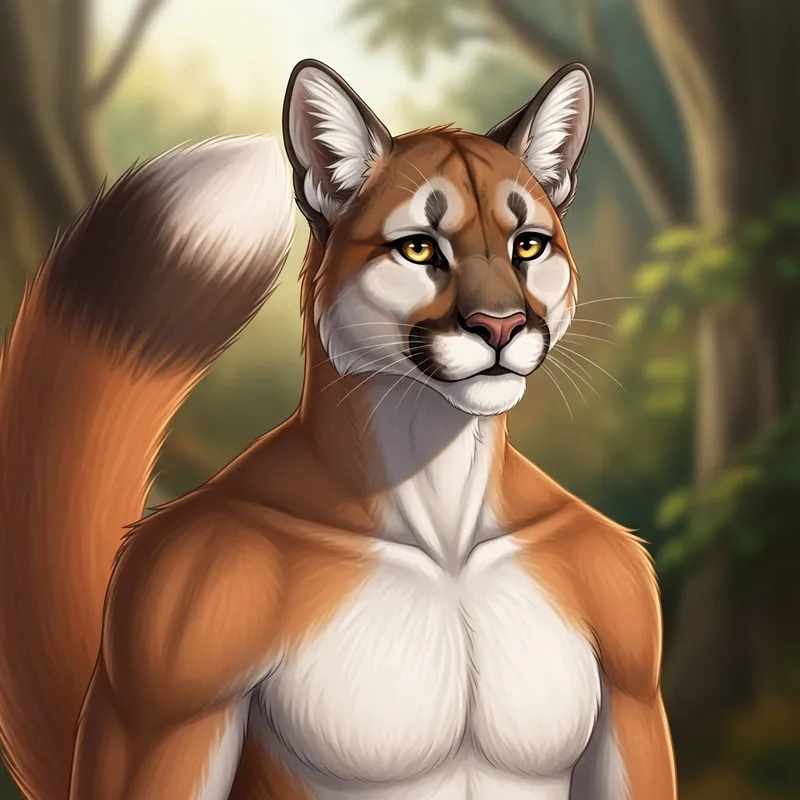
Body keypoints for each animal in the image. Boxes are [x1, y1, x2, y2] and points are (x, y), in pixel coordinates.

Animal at [0, 59, 676, 799]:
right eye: (419, 249)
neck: (441, 518)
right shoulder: (181, 620)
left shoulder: (629, 636)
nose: (500, 327)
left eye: (527, 244)